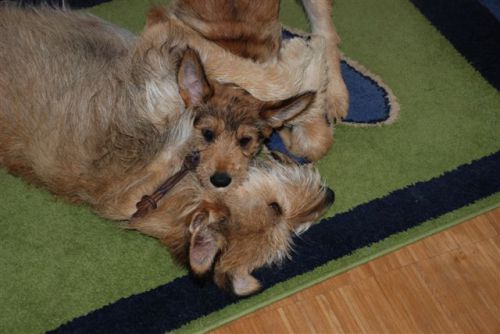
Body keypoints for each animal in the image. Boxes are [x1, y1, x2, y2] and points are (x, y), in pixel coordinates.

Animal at [0, 6, 334, 294]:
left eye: (294, 231)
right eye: (276, 208)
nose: (330, 196)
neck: (171, 183)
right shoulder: (164, 62)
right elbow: (263, 79)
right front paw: (308, 55)